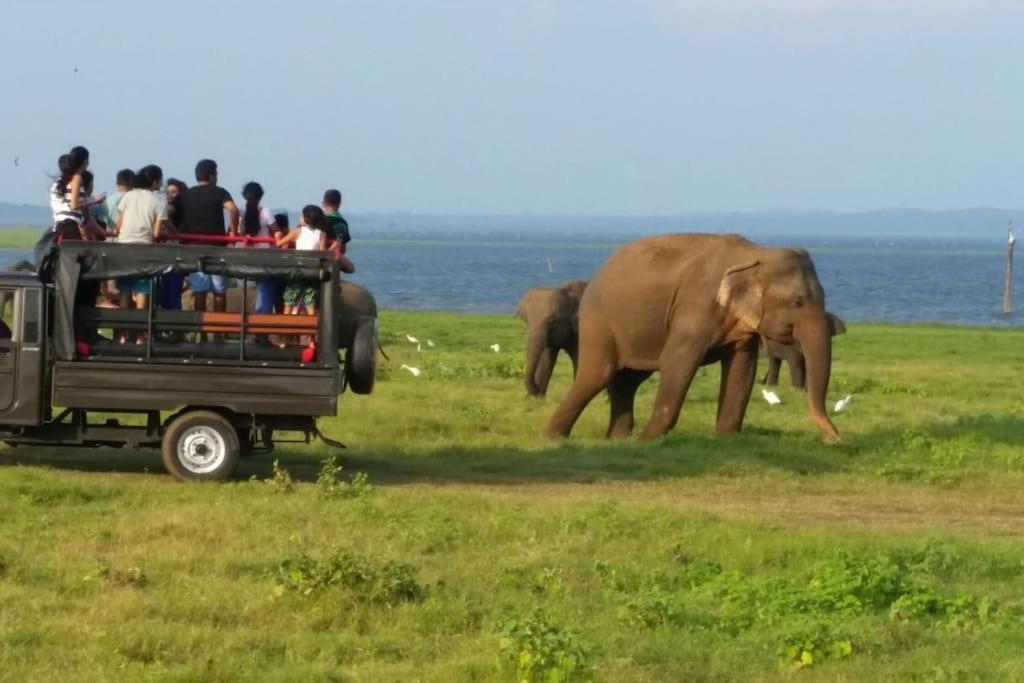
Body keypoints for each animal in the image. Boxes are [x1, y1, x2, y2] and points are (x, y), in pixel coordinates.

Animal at [544, 236, 839, 444]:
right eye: (797, 302)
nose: (835, 437)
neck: (755, 254)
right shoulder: (694, 307)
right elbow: (677, 362)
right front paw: (647, 441)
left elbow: (742, 370)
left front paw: (725, 439)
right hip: (599, 321)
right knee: (597, 374)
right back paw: (555, 437)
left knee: (627, 381)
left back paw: (618, 439)